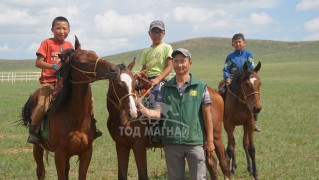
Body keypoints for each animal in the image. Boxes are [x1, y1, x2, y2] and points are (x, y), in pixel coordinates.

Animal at [20, 35, 120, 179]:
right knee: (40, 171)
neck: (76, 119)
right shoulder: (60, 155)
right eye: (83, 62)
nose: (114, 69)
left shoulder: (86, 153)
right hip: (37, 147)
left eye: (95, 54)